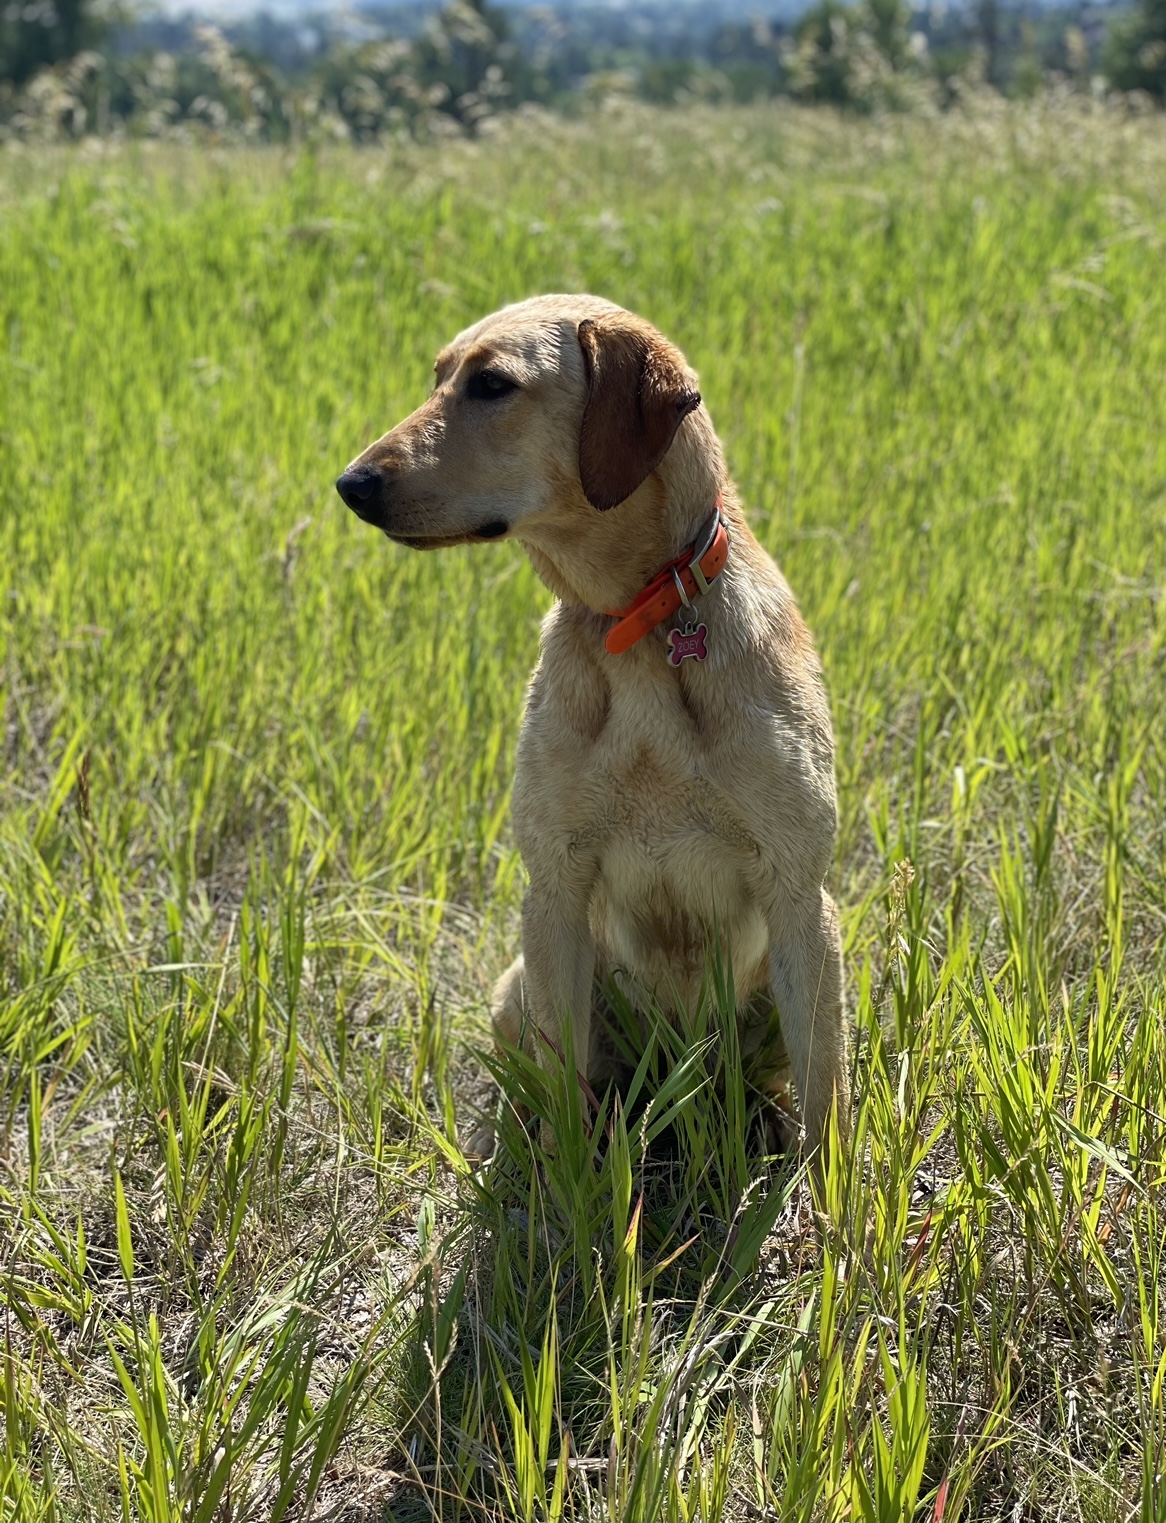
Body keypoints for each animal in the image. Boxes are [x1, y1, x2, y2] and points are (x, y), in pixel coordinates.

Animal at [337, 296, 852, 1169]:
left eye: (493, 384)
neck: (636, 626)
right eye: (439, 377)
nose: (352, 483)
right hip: (521, 983)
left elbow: (827, 1112)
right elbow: (564, 1103)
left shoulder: (796, 892)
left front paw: (840, 1201)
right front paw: (566, 1193)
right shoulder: (556, 887)